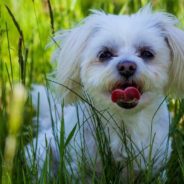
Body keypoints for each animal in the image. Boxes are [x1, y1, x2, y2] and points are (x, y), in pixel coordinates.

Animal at [25, 5, 184, 183]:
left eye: (147, 53)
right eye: (104, 54)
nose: (127, 66)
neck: (125, 120)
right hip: (43, 152)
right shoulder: (82, 167)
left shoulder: (156, 164)